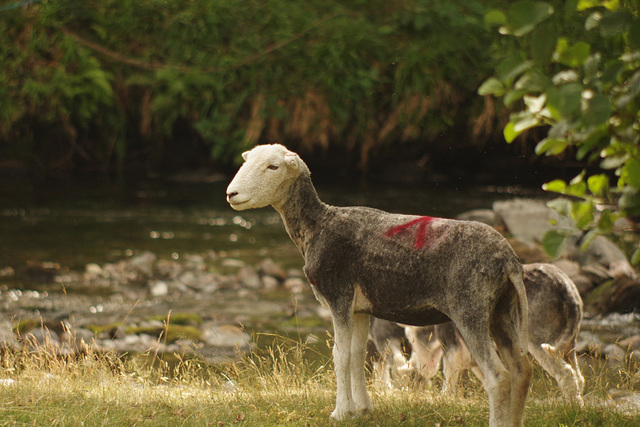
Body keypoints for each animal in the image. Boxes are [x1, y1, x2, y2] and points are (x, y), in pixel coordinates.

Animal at [225, 145, 528, 426]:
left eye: (273, 167)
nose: (231, 194)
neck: (316, 226)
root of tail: (507, 259)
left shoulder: (339, 297)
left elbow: (340, 356)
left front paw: (340, 412)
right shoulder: (359, 309)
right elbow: (357, 355)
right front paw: (362, 409)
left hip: (470, 307)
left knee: (499, 376)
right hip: (501, 310)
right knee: (521, 371)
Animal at [400, 262, 584, 406]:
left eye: (411, 340)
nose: (411, 373)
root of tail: (565, 288)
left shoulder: (452, 348)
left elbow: (449, 378)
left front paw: (444, 399)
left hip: (538, 339)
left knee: (566, 374)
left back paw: (571, 406)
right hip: (567, 344)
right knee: (578, 377)